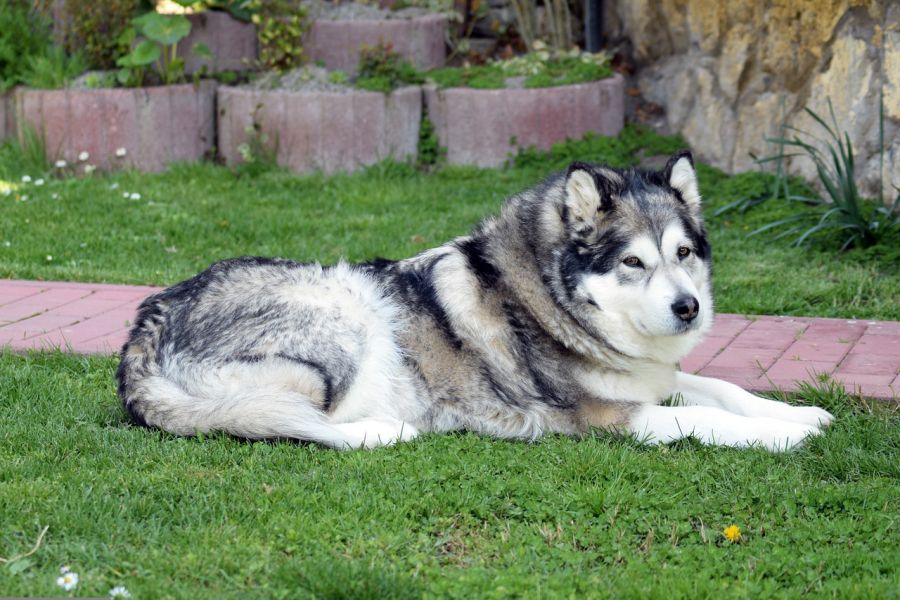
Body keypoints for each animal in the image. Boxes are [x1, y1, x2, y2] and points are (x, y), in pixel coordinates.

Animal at [119, 152, 836, 452]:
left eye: (684, 253)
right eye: (633, 262)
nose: (689, 308)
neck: (552, 302)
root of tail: (142, 332)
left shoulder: (652, 379)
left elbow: (721, 388)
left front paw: (799, 413)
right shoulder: (605, 416)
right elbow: (705, 419)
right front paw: (781, 436)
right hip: (345, 319)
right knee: (288, 421)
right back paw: (384, 431)